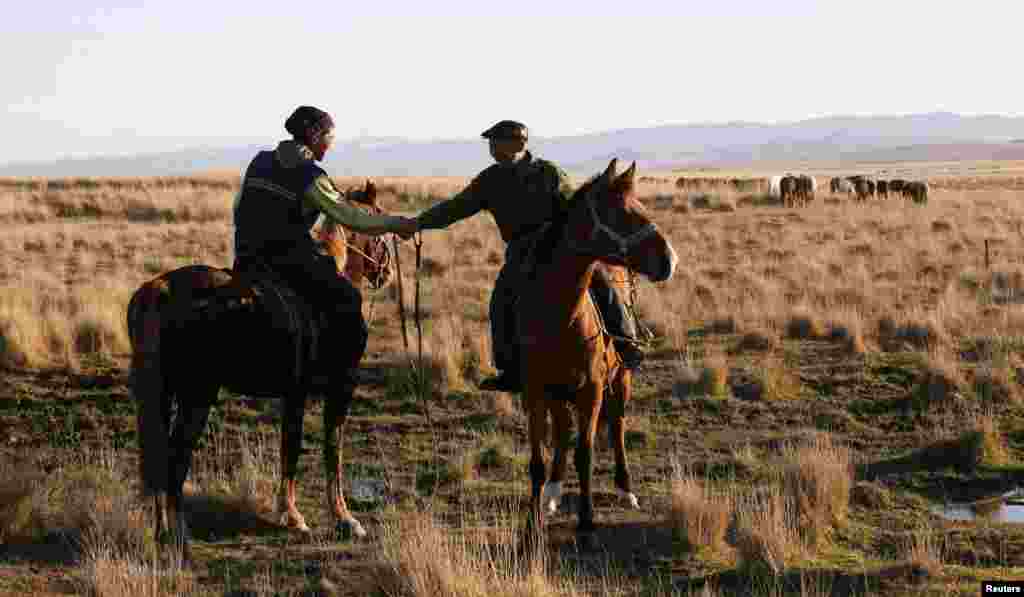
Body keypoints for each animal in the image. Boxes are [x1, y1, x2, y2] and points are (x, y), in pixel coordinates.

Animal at [130, 181, 393, 557]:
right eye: (382, 231)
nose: (385, 272)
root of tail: (158, 290)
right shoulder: (340, 387)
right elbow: (332, 450)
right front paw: (344, 518)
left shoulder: (294, 393)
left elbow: (289, 448)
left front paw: (290, 513)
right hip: (196, 396)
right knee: (175, 458)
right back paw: (178, 535)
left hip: (162, 396)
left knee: (157, 456)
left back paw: (161, 532)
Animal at [516, 157, 675, 532]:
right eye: (622, 214)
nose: (670, 260)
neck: (559, 318)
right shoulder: (535, 391)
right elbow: (537, 460)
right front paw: (533, 519)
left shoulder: (593, 389)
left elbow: (585, 454)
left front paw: (587, 519)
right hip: (559, 393)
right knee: (562, 431)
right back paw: (553, 492)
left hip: (620, 380)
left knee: (617, 426)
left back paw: (626, 489)